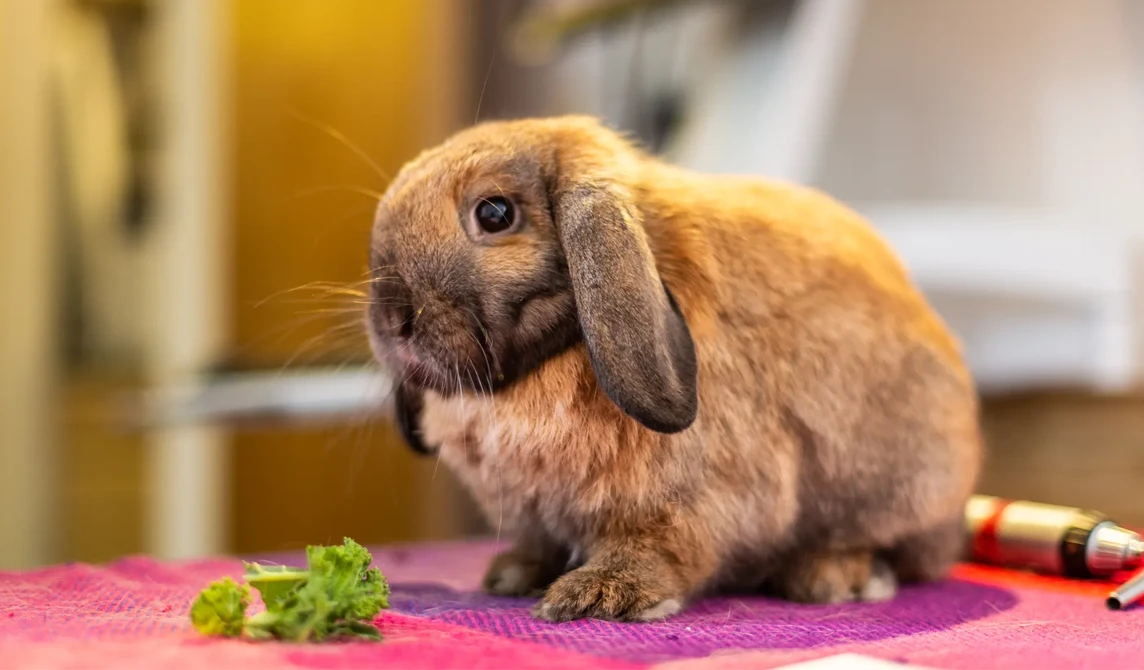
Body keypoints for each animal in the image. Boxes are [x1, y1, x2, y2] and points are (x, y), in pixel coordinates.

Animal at [366, 115, 982, 622]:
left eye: (494, 213)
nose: (393, 319)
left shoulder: (680, 504)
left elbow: (661, 548)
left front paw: (598, 595)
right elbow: (541, 543)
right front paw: (513, 574)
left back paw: (835, 577)